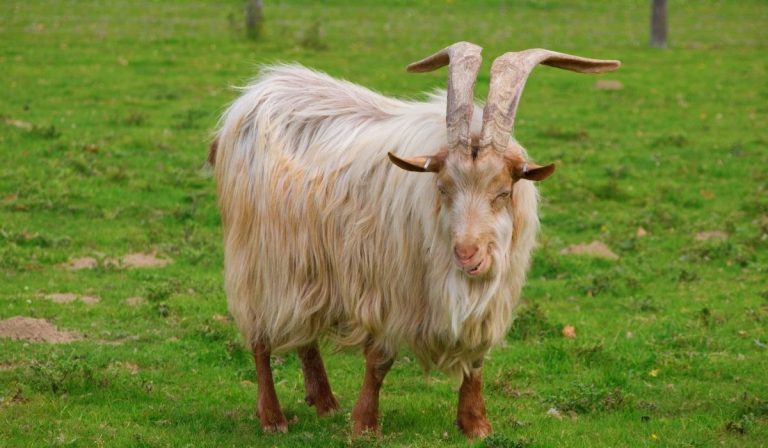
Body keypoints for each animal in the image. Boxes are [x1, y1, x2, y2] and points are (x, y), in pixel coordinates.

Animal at [210, 42, 619, 438]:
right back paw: (272, 417)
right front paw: (364, 424)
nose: (467, 255)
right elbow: (379, 361)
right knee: (260, 339)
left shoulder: (486, 304)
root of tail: (255, 93)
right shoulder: (390, 289)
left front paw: (475, 424)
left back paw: (324, 401)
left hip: (304, 264)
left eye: (503, 192)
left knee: (305, 331)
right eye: (442, 188)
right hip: (256, 258)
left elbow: (475, 362)